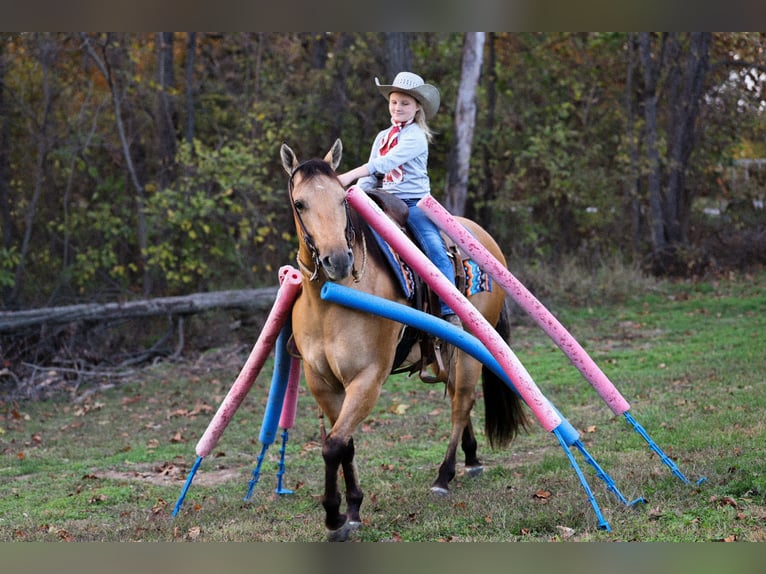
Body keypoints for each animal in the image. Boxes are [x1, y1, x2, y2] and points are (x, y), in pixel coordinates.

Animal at [281, 139, 527, 541]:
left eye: (342, 200)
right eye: (300, 203)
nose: (338, 259)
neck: (329, 303)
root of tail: (485, 238)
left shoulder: (367, 380)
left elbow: (333, 445)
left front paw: (334, 517)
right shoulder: (322, 384)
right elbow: (344, 444)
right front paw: (352, 510)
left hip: (471, 349)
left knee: (461, 403)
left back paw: (444, 476)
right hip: (445, 353)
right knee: (459, 398)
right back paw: (472, 457)